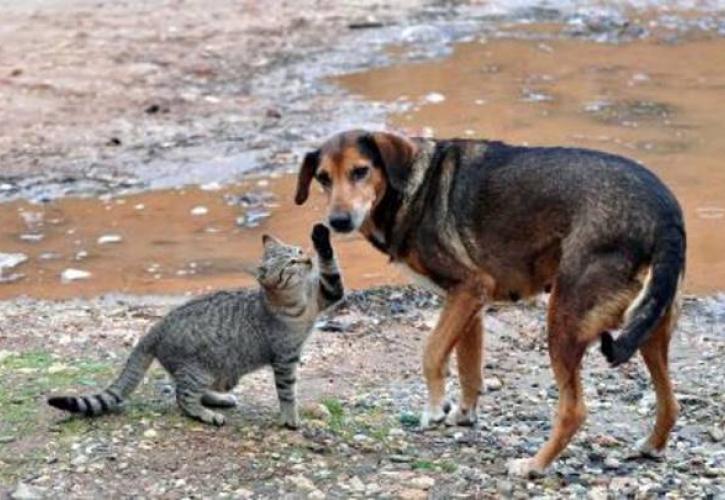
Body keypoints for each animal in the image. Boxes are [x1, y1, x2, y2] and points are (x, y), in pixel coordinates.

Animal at [48, 225, 342, 428]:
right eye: (290, 263)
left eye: (300, 251)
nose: (307, 260)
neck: (297, 299)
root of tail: (158, 325)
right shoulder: (284, 358)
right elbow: (287, 392)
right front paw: (290, 419)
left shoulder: (328, 292)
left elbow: (332, 269)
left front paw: (321, 236)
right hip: (198, 370)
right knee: (183, 397)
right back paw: (207, 415)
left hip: (216, 372)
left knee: (190, 390)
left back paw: (219, 400)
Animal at [294, 130, 684, 476]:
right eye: (323, 178)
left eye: (360, 171)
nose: (337, 221)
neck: (410, 187)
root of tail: (666, 215)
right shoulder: (471, 304)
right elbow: (469, 367)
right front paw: (463, 414)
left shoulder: (469, 288)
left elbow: (432, 353)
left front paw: (435, 409)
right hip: (650, 328)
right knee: (670, 402)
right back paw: (651, 446)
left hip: (564, 320)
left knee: (574, 411)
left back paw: (534, 466)